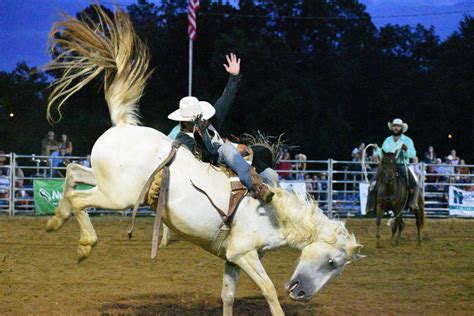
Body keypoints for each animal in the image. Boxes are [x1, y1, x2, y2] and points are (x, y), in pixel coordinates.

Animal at [43, 6, 362, 314]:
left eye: (337, 269)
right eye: (331, 263)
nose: (301, 293)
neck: (274, 214)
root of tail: (123, 125)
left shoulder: (233, 258)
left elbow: (228, 296)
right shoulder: (244, 253)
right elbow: (269, 291)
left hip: (106, 180)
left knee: (73, 173)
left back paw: (56, 220)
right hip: (119, 196)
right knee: (80, 199)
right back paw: (85, 244)